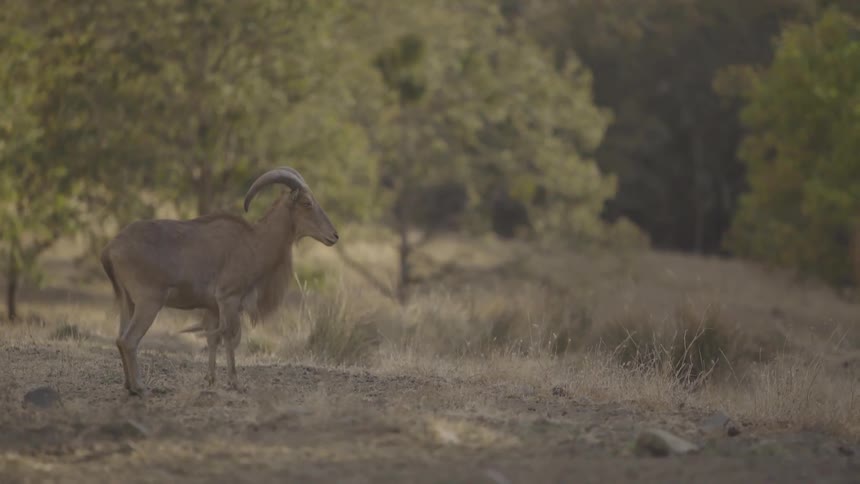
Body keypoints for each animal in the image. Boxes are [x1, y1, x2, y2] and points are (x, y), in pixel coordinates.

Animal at [100, 167, 338, 395]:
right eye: (307, 203)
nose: (334, 236)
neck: (253, 242)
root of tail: (110, 248)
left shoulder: (213, 307)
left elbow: (213, 339)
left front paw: (211, 380)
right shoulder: (228, 299)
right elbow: (231, 338)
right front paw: (234, 382)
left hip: (126, 301)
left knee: (119, 338)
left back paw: (128, 385)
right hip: (149, 302)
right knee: (129, 340)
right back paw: (140, 387)